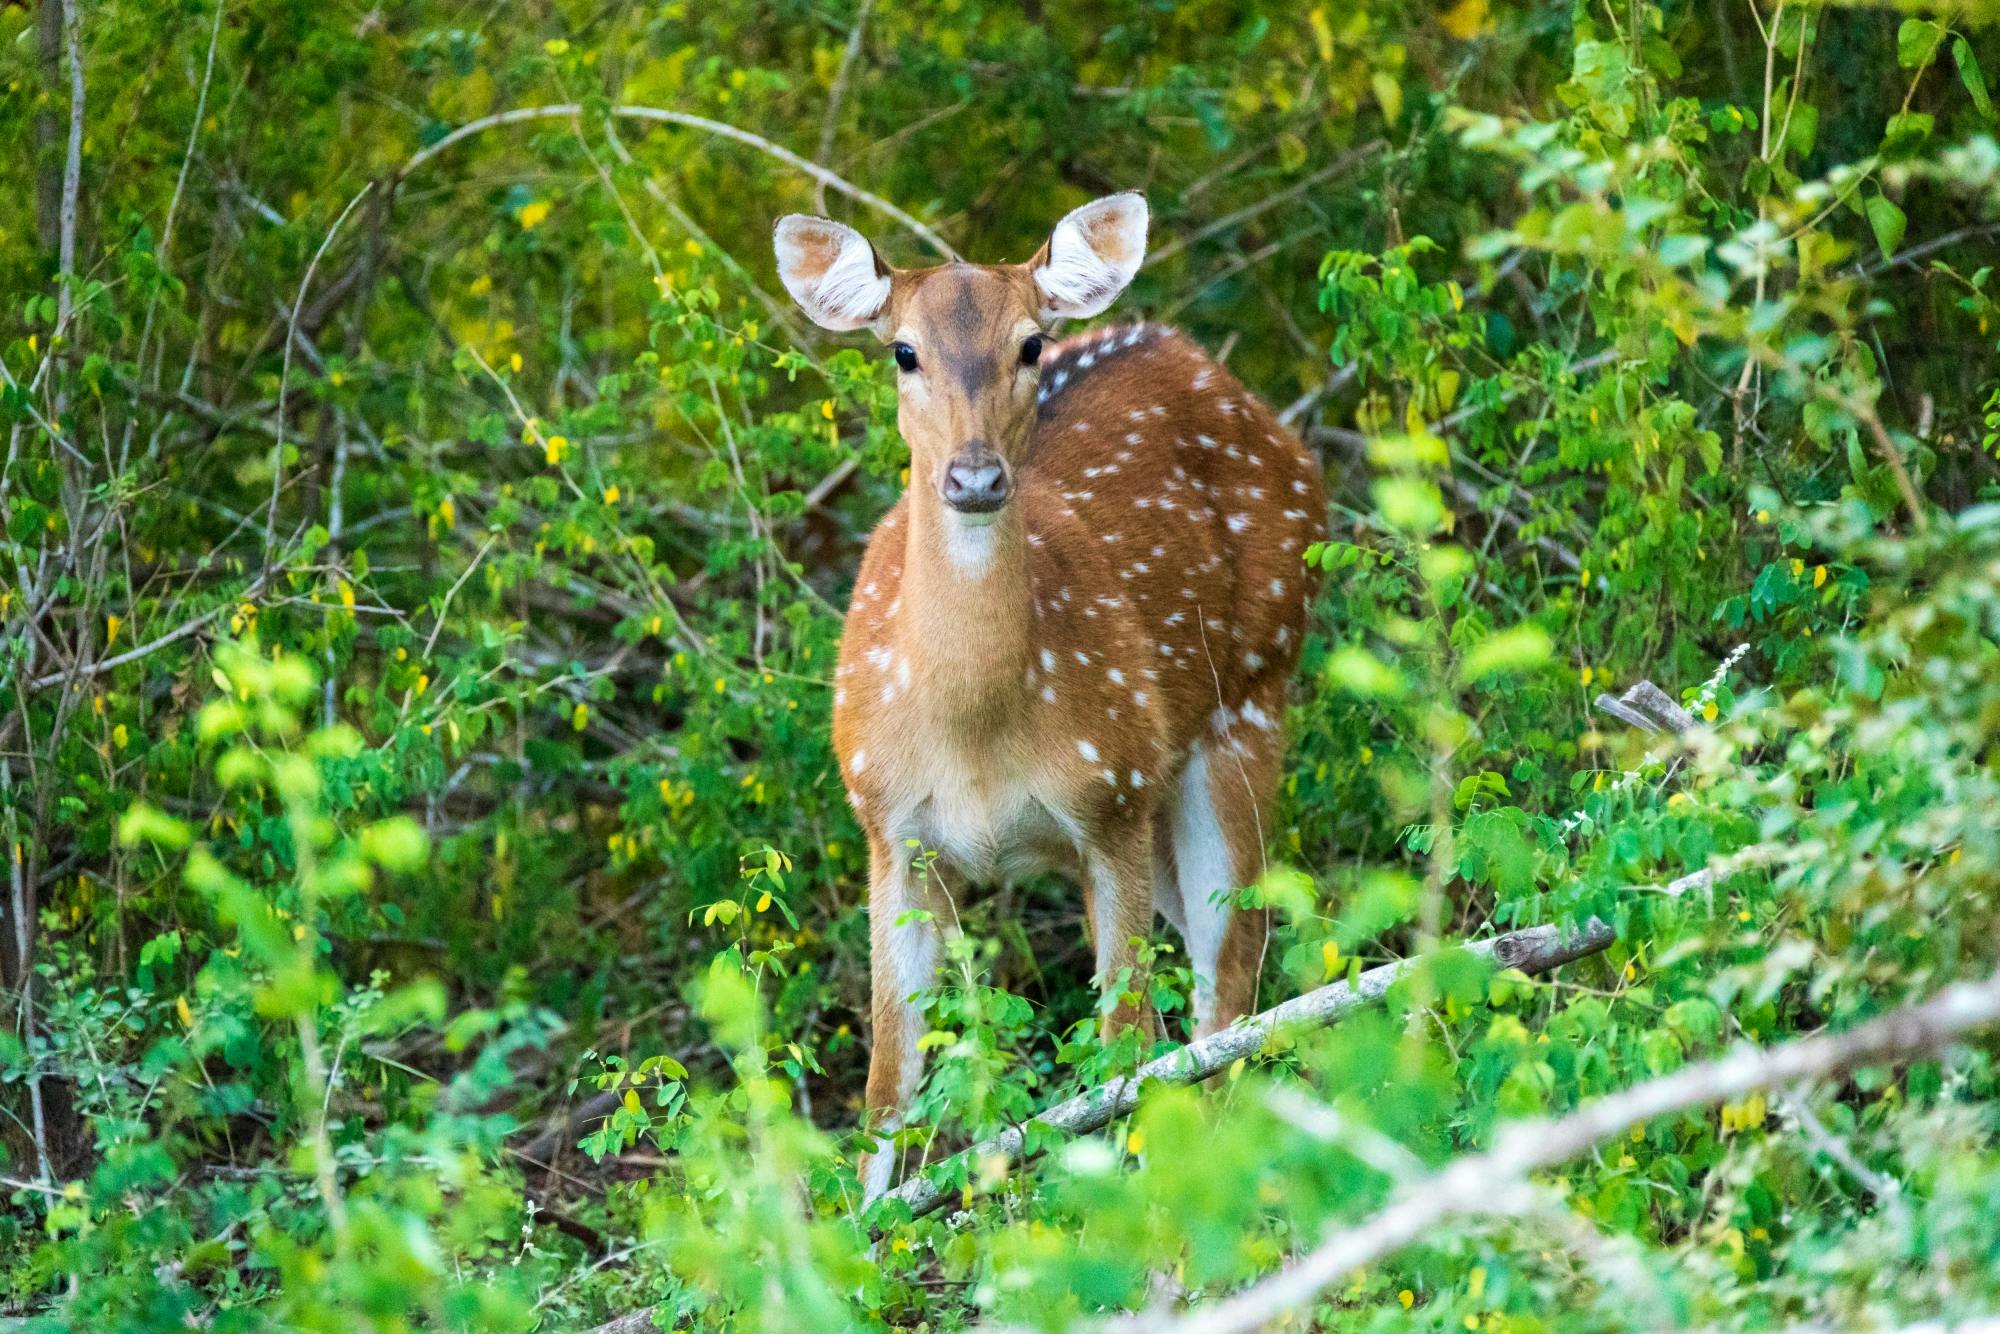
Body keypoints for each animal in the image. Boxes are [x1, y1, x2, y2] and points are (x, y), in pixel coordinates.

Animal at [772, 190, 1320, 1200]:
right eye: (901, 350)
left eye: (1031, 342)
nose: (976, 477)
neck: (977, 736)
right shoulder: (888, 824)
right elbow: (888, 1082)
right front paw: (868, 1228)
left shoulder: (1109, 796)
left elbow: (1122, 1042)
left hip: (1248, 697)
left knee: (1230, 967)